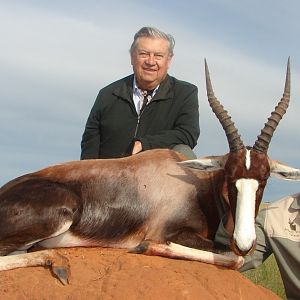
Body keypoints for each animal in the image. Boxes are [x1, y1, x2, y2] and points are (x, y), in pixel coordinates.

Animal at [0, 58, 300, 284]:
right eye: (229, 175)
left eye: (264, 179)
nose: (245, 241)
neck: (194, 187)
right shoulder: (167, 231)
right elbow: (233, 258)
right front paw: (145, 247)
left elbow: (235, 257)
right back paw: (59, 262)